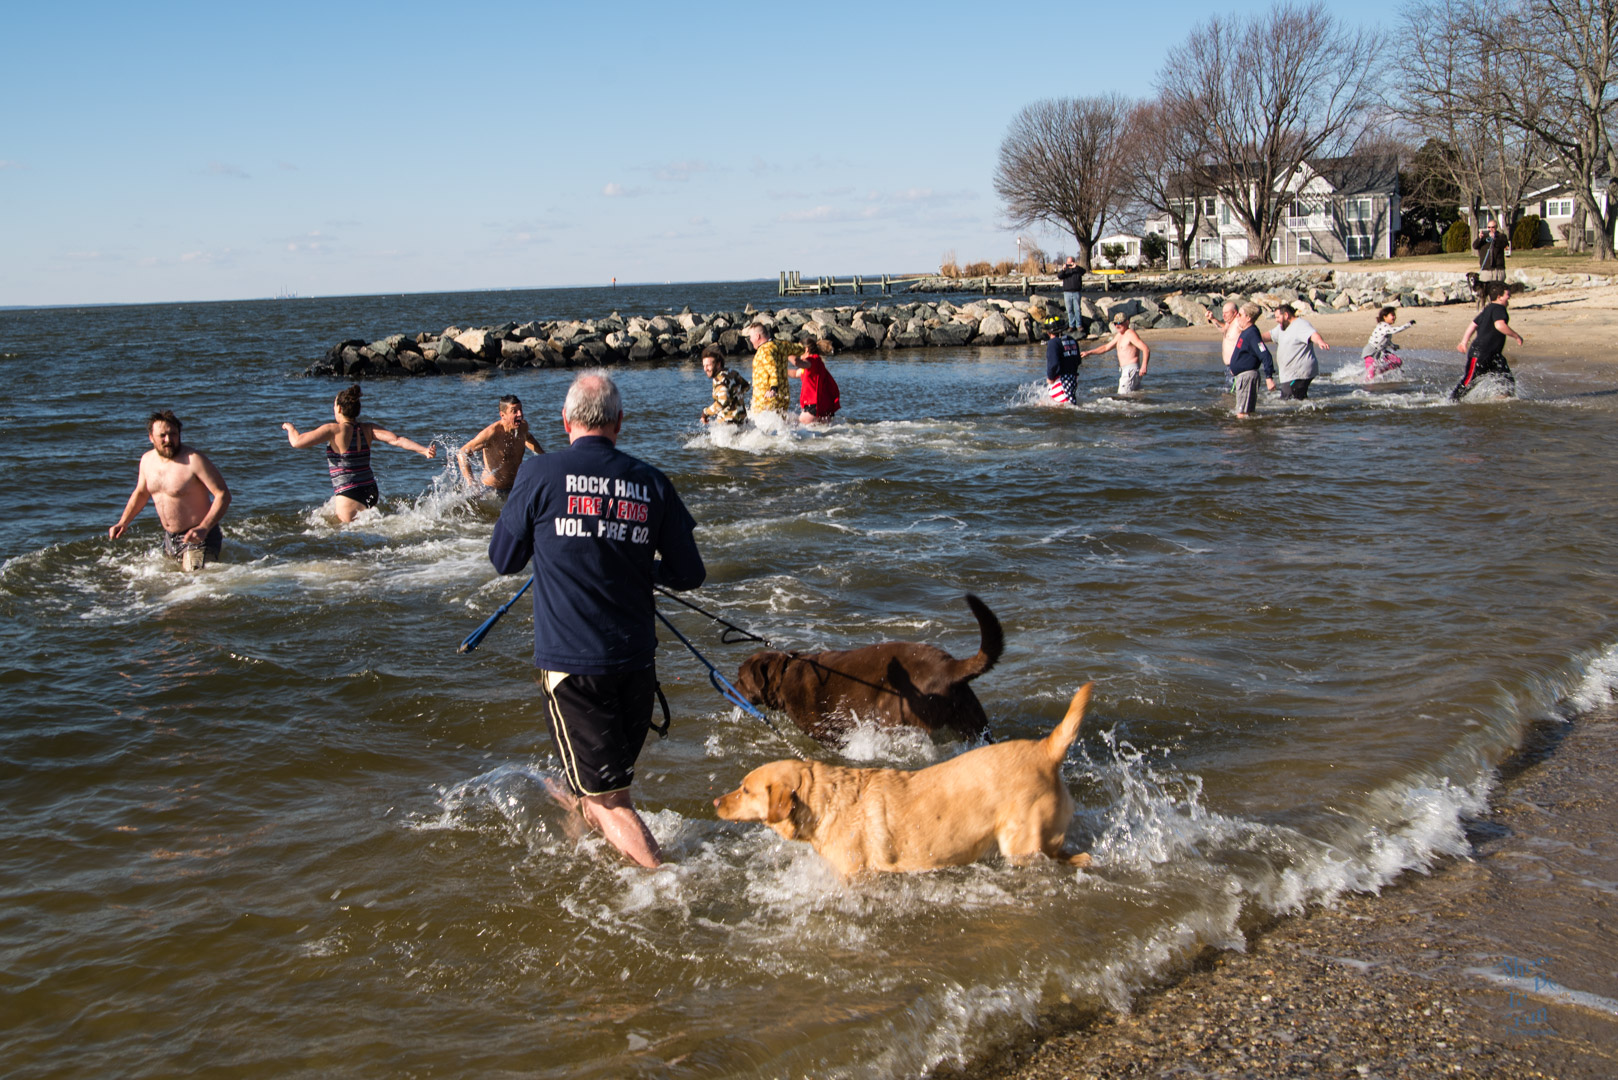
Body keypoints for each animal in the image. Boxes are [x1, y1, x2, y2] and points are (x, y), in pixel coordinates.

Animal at [715, 683, 1093, 880]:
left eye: (745, 789)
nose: (716, 801)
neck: (824, 801)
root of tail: (1045, 749)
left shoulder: (856, 876)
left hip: (1023, 845)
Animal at [734, 592, 996, 744]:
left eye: (740, 677)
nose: (730, 686)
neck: (784, 673)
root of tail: (950, 666)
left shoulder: (825, 733)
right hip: (973, 721)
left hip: (896, 714)